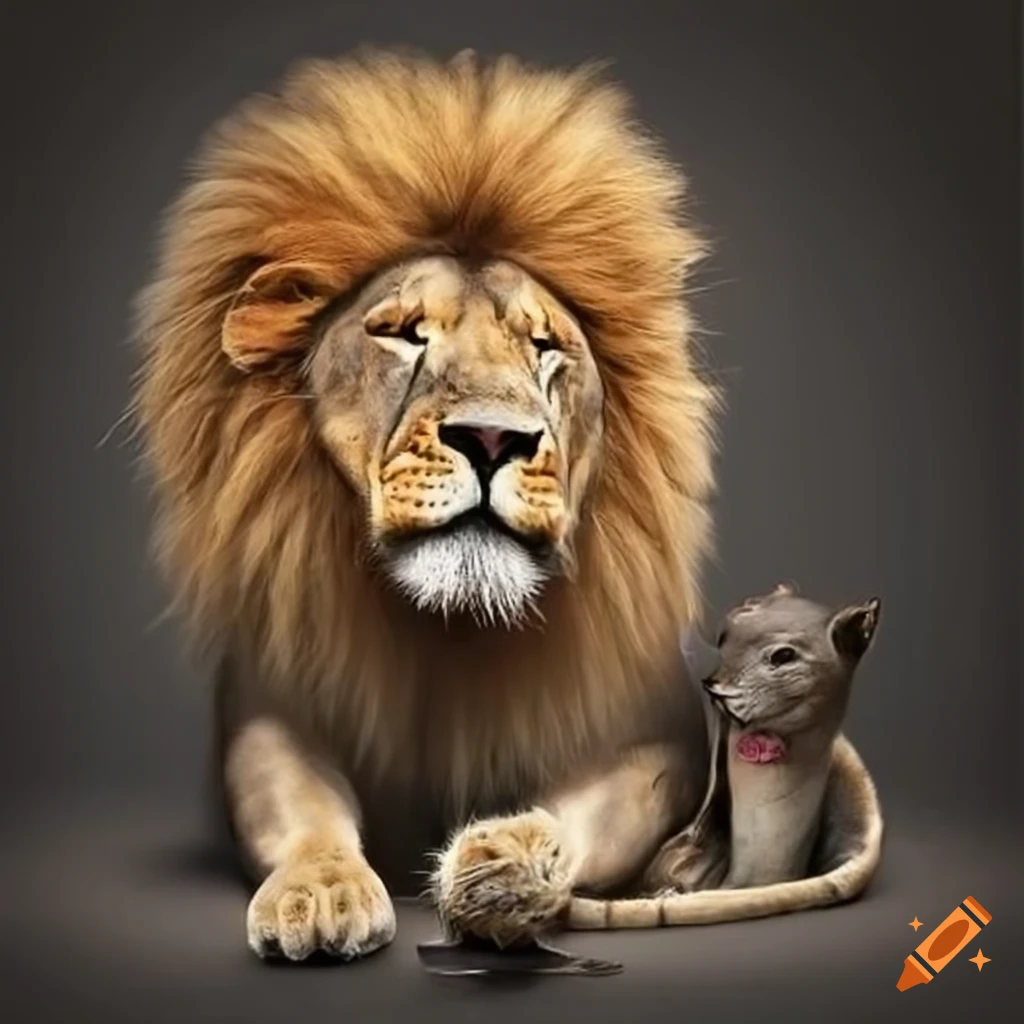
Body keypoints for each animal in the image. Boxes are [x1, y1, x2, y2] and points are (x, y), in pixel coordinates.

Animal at [130, 48, 874, 961]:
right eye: (402, 332)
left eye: (545, 345)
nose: (493, 438)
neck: (448, 635)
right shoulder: (271, 709)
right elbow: (303, 810)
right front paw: (320, 892)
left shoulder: (645, 740)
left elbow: (576, 815)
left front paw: (505, 868)